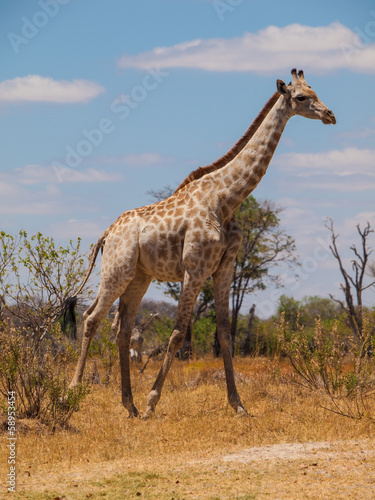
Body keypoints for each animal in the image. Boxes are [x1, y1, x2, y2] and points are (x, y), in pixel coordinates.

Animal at [68, 68, 338, 416]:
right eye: (302, 97)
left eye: (316, 92)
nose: (330, 115)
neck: (225, 199)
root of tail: (107, 232)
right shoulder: (194, 269)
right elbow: (177, 333)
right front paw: (153, 401)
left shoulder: (224, 269)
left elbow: (225, 334)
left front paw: (238, 404)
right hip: (117, 270)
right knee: (91, 318)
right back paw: (73, 391)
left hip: (139, 277)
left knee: (122, 329)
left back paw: (129, 405)